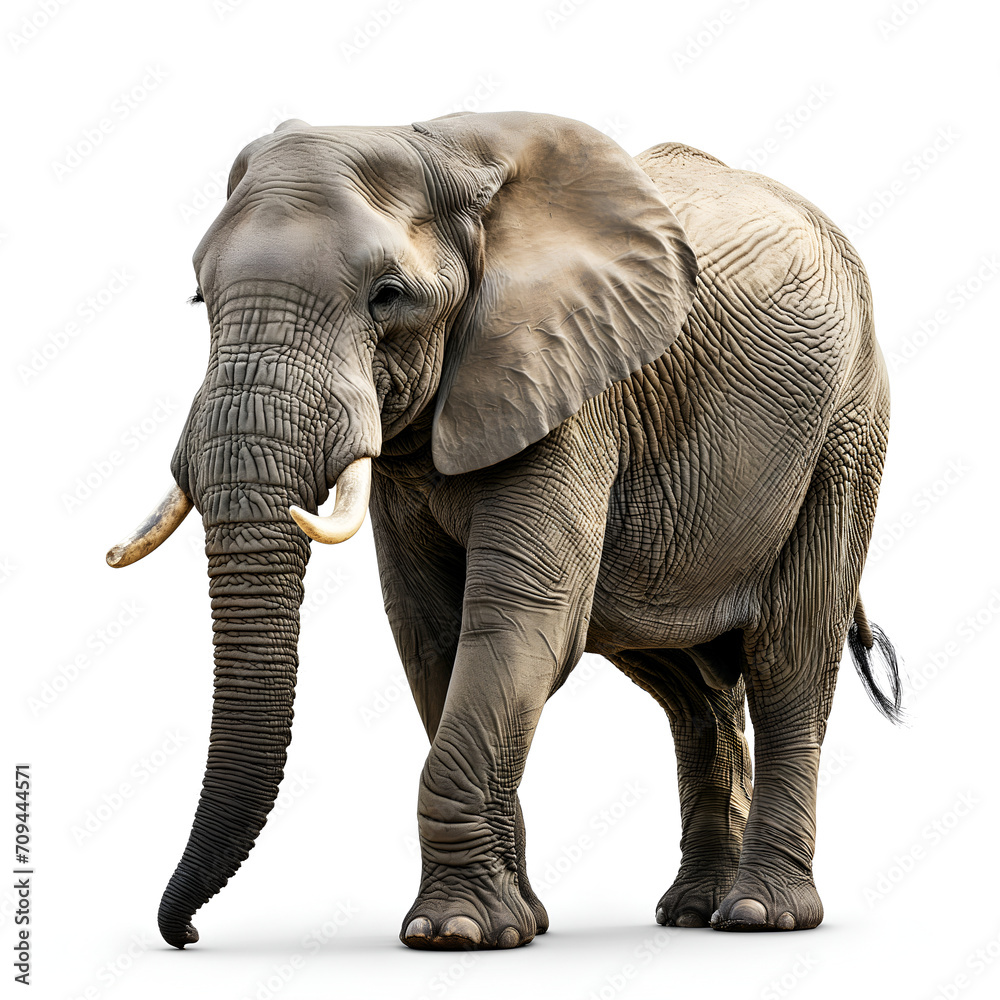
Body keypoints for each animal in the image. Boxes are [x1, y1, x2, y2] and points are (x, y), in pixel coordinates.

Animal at [107, 110, 902, 950]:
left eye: (388, 297)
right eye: (200, 297)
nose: (185, 935)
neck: (440, 151)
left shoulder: (572, 387)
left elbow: (518, 624)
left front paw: (452, 934)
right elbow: (432, 636)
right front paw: (517, 923)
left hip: (847, 429)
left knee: (790, 653)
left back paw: (759, 917)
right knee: (686, 685)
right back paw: (692, 913)